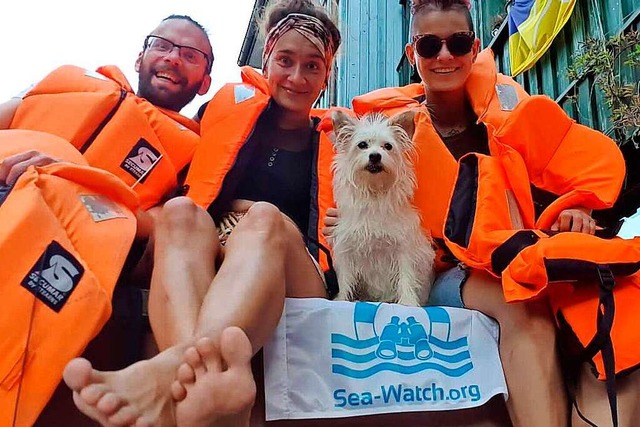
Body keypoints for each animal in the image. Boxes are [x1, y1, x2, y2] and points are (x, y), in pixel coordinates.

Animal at [330, 108, 436, 306]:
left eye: (388, 146)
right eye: (362, 145)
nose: (375, 156)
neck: (375, 193)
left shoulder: (403, 248)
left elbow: (406, 276)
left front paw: (408, 302)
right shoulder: (347, 246)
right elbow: (346, 278)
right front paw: (343, 299)